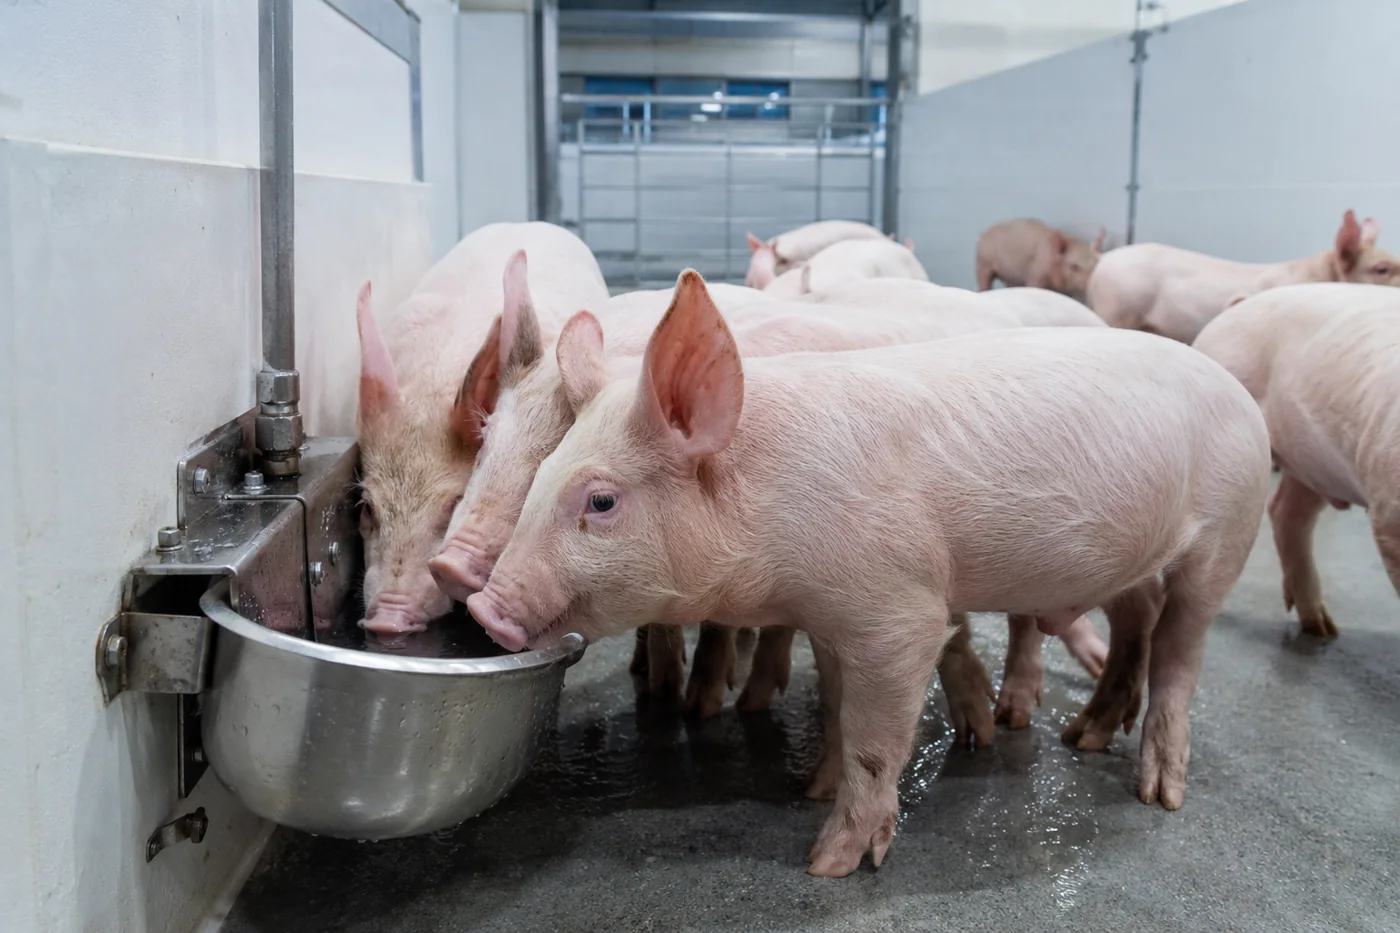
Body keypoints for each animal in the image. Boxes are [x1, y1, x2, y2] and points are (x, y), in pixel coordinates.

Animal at [465, 271, 1271, 875]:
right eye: (544, 471)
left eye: (600, 500)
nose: (483, 607)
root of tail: (1237, 389)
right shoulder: (830, 614)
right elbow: (835, 709)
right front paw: (811, 787)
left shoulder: (897, 611)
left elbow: (876, 737)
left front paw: (828, 862)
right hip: (1135, 563)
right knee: (1139, 622)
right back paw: (1084, 737)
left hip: (1227, 532)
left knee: (1182, 649)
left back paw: (1158, 793)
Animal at [975, 218, 1106, 296]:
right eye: (1074, 266)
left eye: (1094, 265)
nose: (1092, 282)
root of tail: (983, 234)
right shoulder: (1035, 273)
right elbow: (1034, 286)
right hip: (983, 263)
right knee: (984, 282)